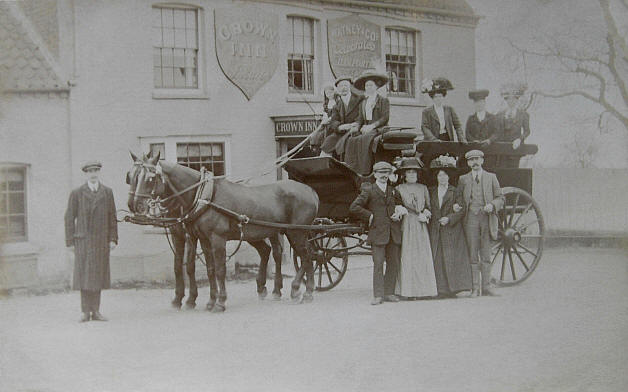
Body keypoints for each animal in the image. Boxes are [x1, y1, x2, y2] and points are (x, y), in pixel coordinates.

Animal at [127, 152, 318, 310]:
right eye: (131, 177)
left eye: (150, 178)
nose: (135, 205)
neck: (202, 196)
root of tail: (310, 190)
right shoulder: (200, 238)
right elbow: (207, 269)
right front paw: (207, 301)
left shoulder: (215, 238)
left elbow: (218, 269)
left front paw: (219, 301)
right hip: (267, 233)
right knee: (276, 252)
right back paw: (283, 289)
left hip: (296, 232)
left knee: (307, 256)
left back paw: (300, 290)